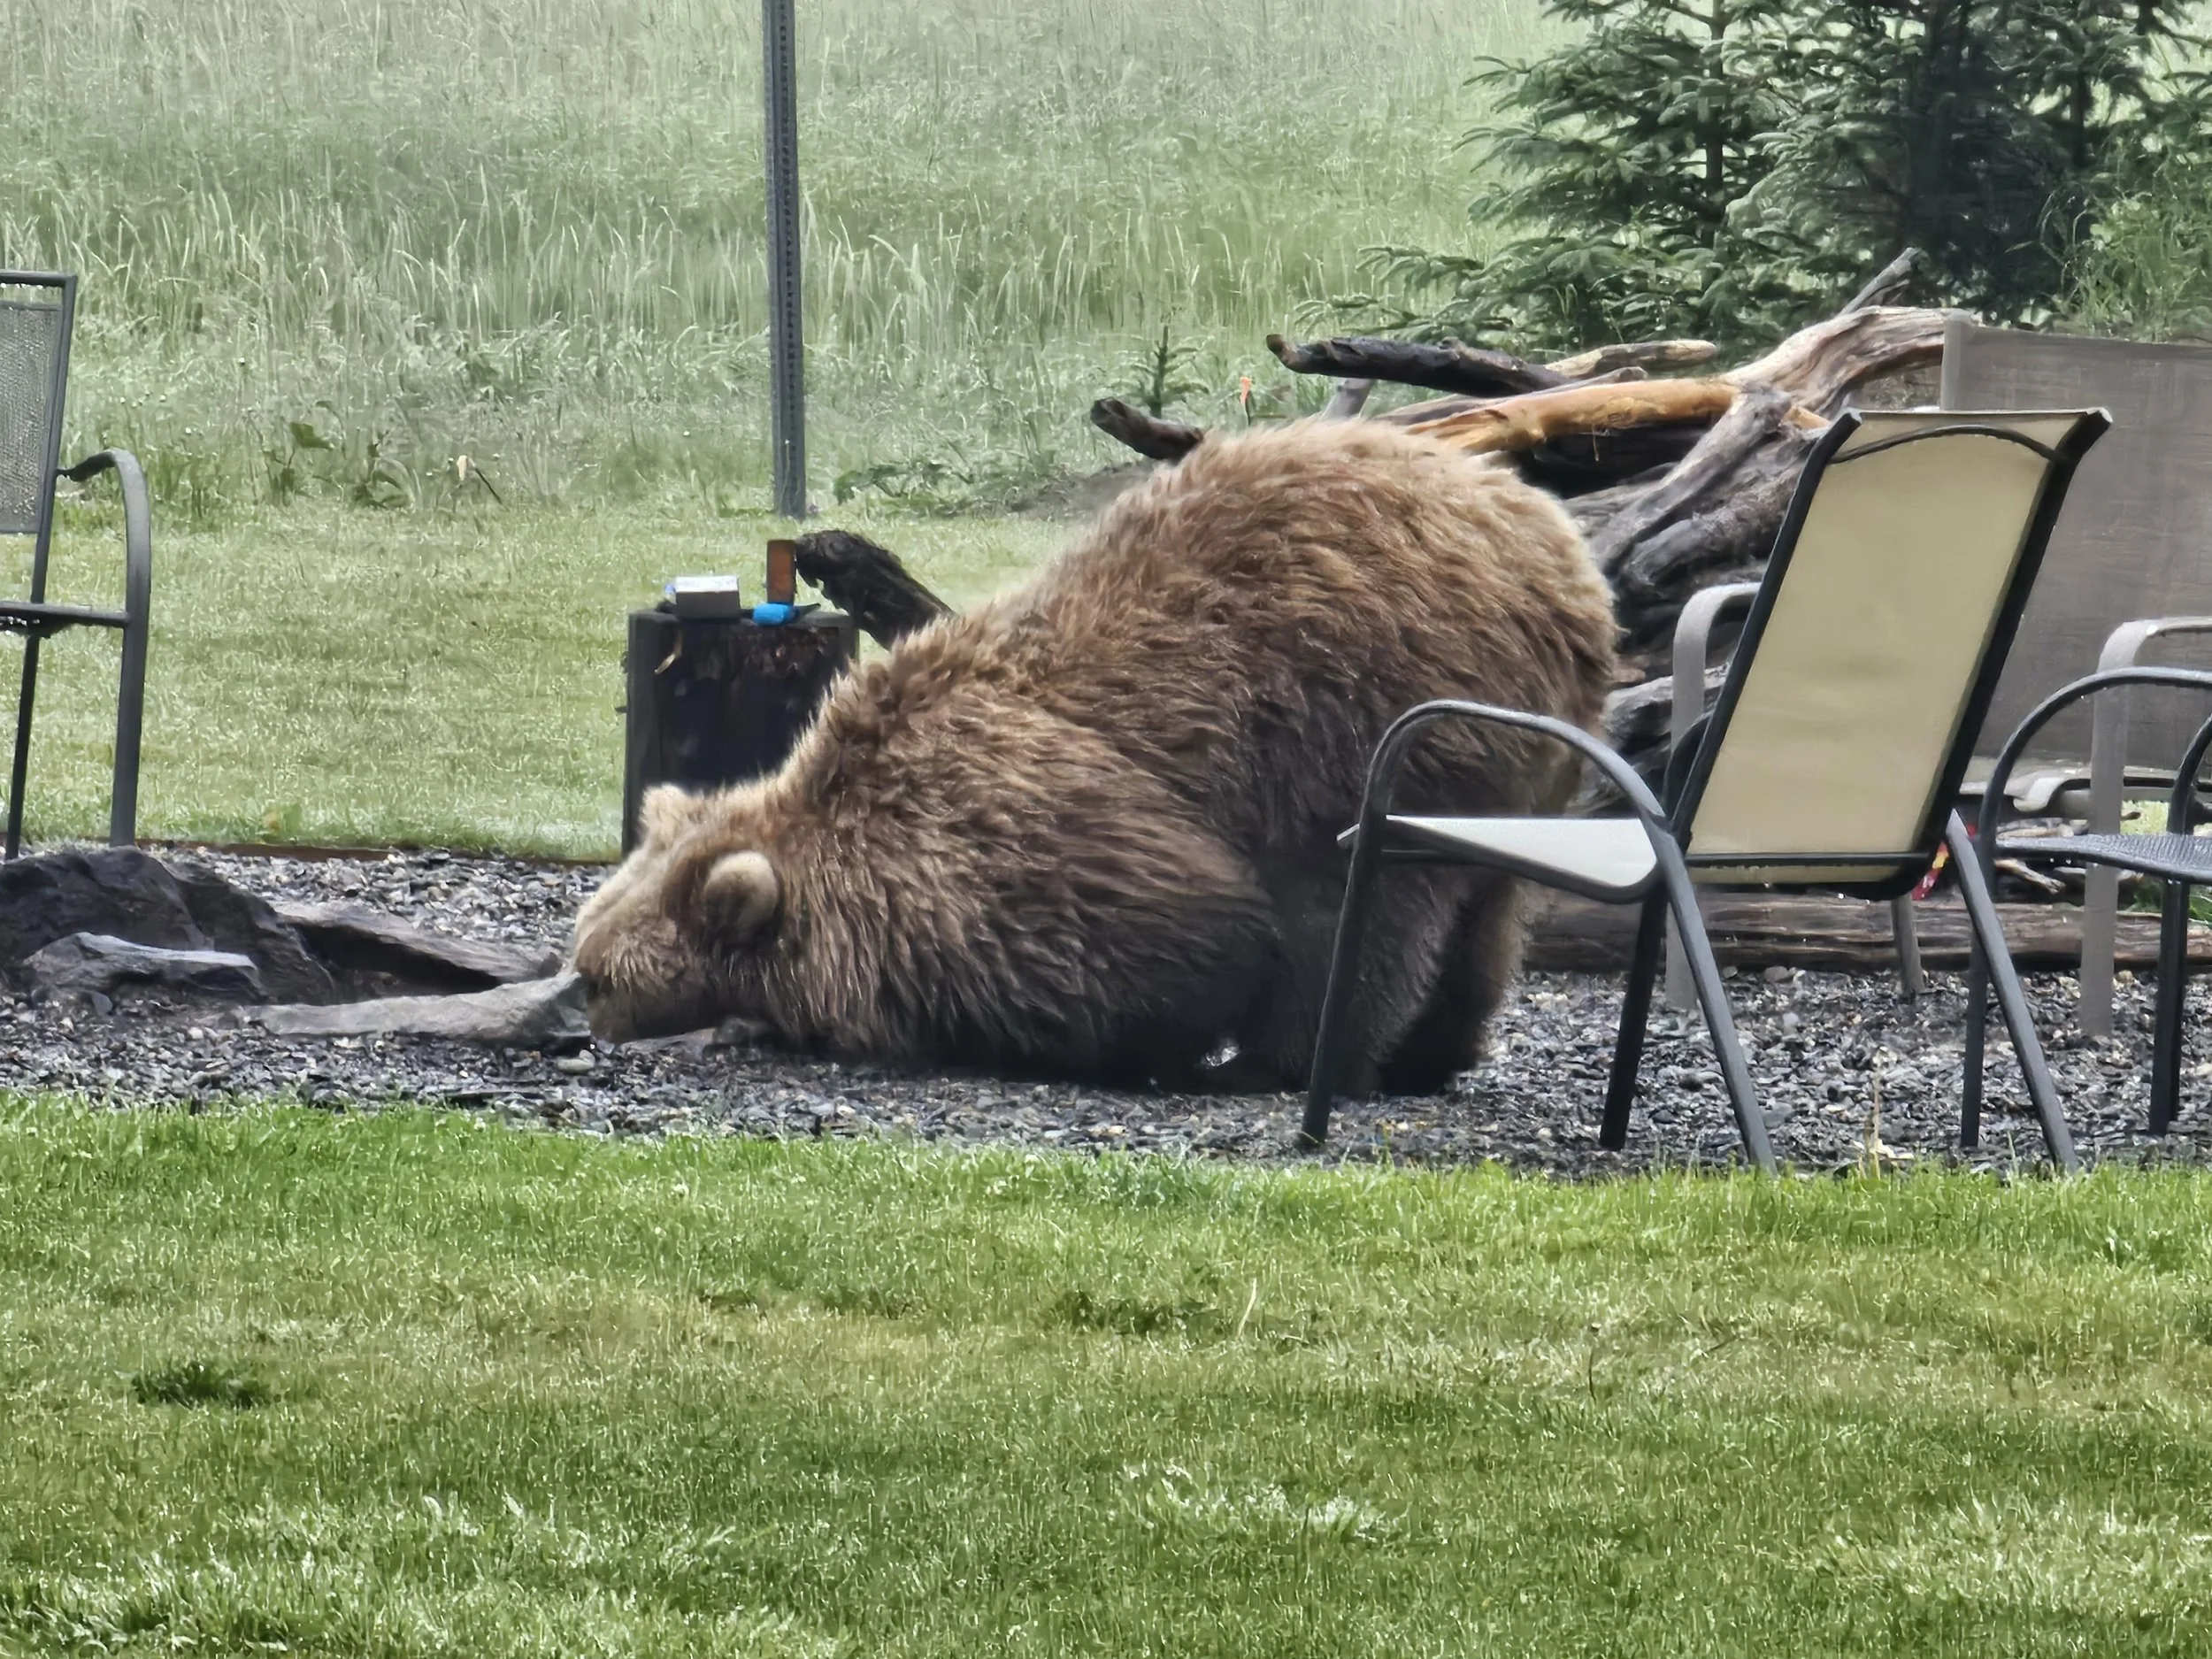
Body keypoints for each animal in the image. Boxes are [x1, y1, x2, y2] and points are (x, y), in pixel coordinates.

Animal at [573, 418, 1617, 1095]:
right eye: (585, 952)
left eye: (602, 976)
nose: (582, 1011)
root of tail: (1562, 554)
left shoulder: (999, 837)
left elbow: (1186, 934)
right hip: (1508, 759)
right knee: (1483, 909)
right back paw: (1434, 1053)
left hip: (1372, 717)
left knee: (1363, 907)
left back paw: (1282, 1063)